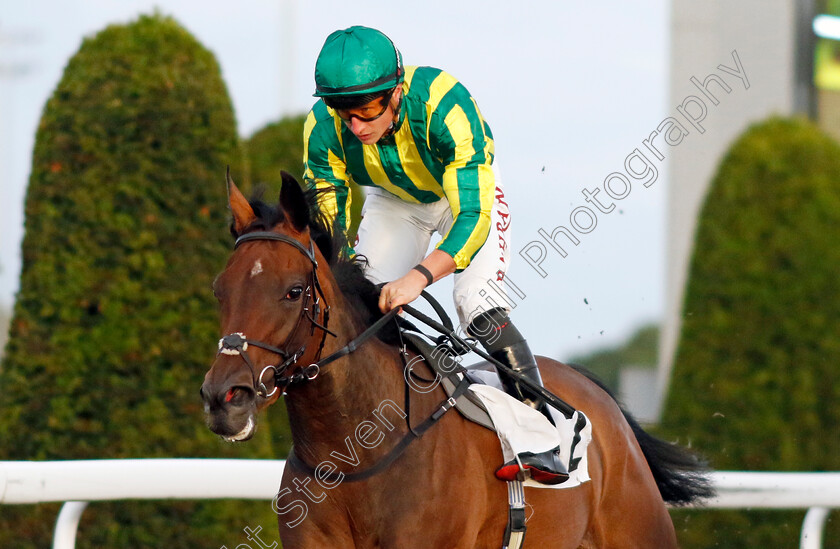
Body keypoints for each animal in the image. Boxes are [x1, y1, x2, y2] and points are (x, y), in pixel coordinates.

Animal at [200, 172, 712, 548]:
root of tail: (601, 400)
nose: (224, 398)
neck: (354, 456)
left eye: (293, 292)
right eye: (219, 289)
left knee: (487, 315)